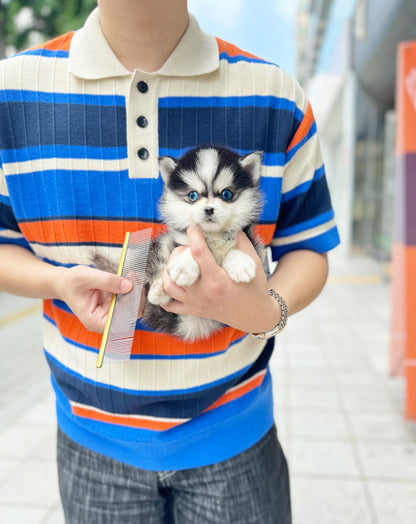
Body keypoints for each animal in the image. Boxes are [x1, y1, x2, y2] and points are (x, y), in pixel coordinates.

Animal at [142, 145, 266, 342]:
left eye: (226, 194)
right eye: (192, 195)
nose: (209, 209)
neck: (212, 235)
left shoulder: (249, 239)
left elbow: (233, 250)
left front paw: (241, 265)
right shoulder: (178, 240)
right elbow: (188, 249)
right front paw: (184, 268)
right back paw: (158, 290)